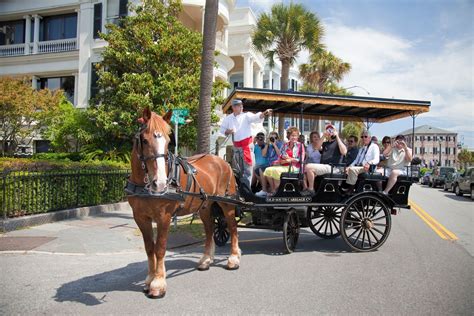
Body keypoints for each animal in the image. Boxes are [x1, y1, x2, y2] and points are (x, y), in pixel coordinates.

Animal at [128, 107, 241, 298]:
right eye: (144, 140)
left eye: (168, 141)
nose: (160, 183)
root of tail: (222, 161)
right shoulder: (140, 218)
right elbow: (149, 248)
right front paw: (150, 279)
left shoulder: (164, 217)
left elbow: (160, 248)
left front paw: (158, 283)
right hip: (205, 206)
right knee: (209, 229)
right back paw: (206, 259)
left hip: (227, 203)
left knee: (232, 227)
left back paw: (234, 258)